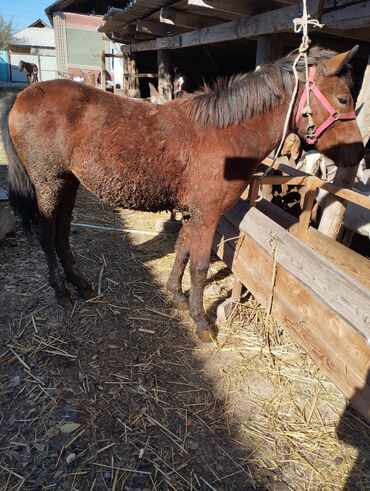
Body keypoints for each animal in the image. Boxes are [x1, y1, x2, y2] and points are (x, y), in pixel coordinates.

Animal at [0, 47, 364, 342]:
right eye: (343, 99)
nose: (357, 154)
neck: (225, 133)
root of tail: (22, 96)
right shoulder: (208, 213)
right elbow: (199, 266)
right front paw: (201, 322)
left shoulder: (194, 211)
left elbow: (182, 251)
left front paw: (175, 296)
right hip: (48, 182)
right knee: (47, 234)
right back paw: (61, 291)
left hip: (68, 182)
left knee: (61, 234)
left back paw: (82, 285)